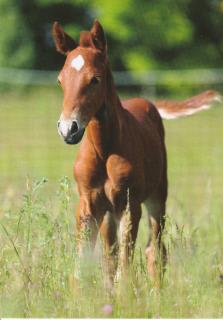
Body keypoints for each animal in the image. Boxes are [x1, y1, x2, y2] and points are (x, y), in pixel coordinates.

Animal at [51, 20, 220, 284]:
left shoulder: (130, 206)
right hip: (109, 213)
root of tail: (148, 104)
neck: (104, 150)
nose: (68, 128)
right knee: (111, 255)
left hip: (157, 198)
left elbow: (125, 269)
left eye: (95, 79)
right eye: (60, 80)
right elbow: (83, 269)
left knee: (156, 251)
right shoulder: (88, 205)